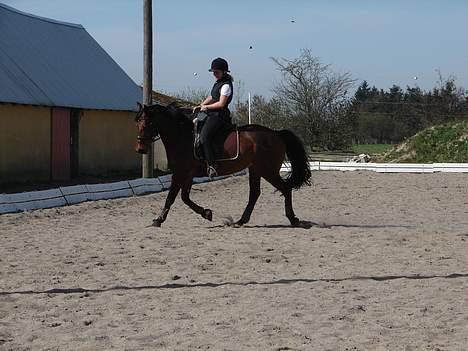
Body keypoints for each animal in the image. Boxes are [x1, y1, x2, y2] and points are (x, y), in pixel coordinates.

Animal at [134, 102, 310, 228]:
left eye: (147, 122)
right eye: (138, 123)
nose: (140, 149)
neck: (182, 137)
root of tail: (276, 133)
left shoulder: (179, 173)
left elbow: (171, 198)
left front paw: (158, 220)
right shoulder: (187, 174)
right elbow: (185, 197)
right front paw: (206, 213)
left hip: (268, 170)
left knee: (285, 188)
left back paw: (293, 219)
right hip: (256, 169)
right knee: (255, 193)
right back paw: (241, 221)